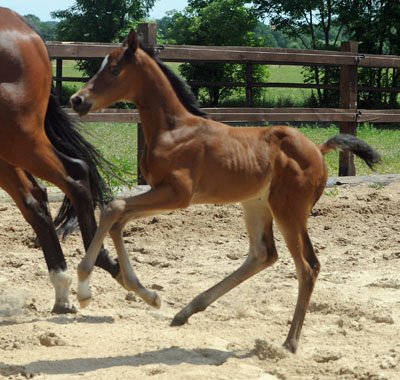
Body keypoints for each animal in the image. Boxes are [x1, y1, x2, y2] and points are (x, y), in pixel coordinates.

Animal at [0, 7, 124, 314]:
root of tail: (22, 25)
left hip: (17, 137)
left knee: (75, 175)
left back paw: (97, 263)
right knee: (34, 199)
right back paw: (62, 289)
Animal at [70, 29, 380, 354]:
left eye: (114, 70)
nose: (77, 100)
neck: (173, 129)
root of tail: (318, 150)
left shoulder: (178, 194)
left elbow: (114, 207)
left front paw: (84, 288)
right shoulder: (161, 192)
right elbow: (118, 218)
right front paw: (148, 294)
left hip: (289, 210)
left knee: (308, 267)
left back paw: (289, 342)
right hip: (256, 204)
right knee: (263, 254)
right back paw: (187, 310)